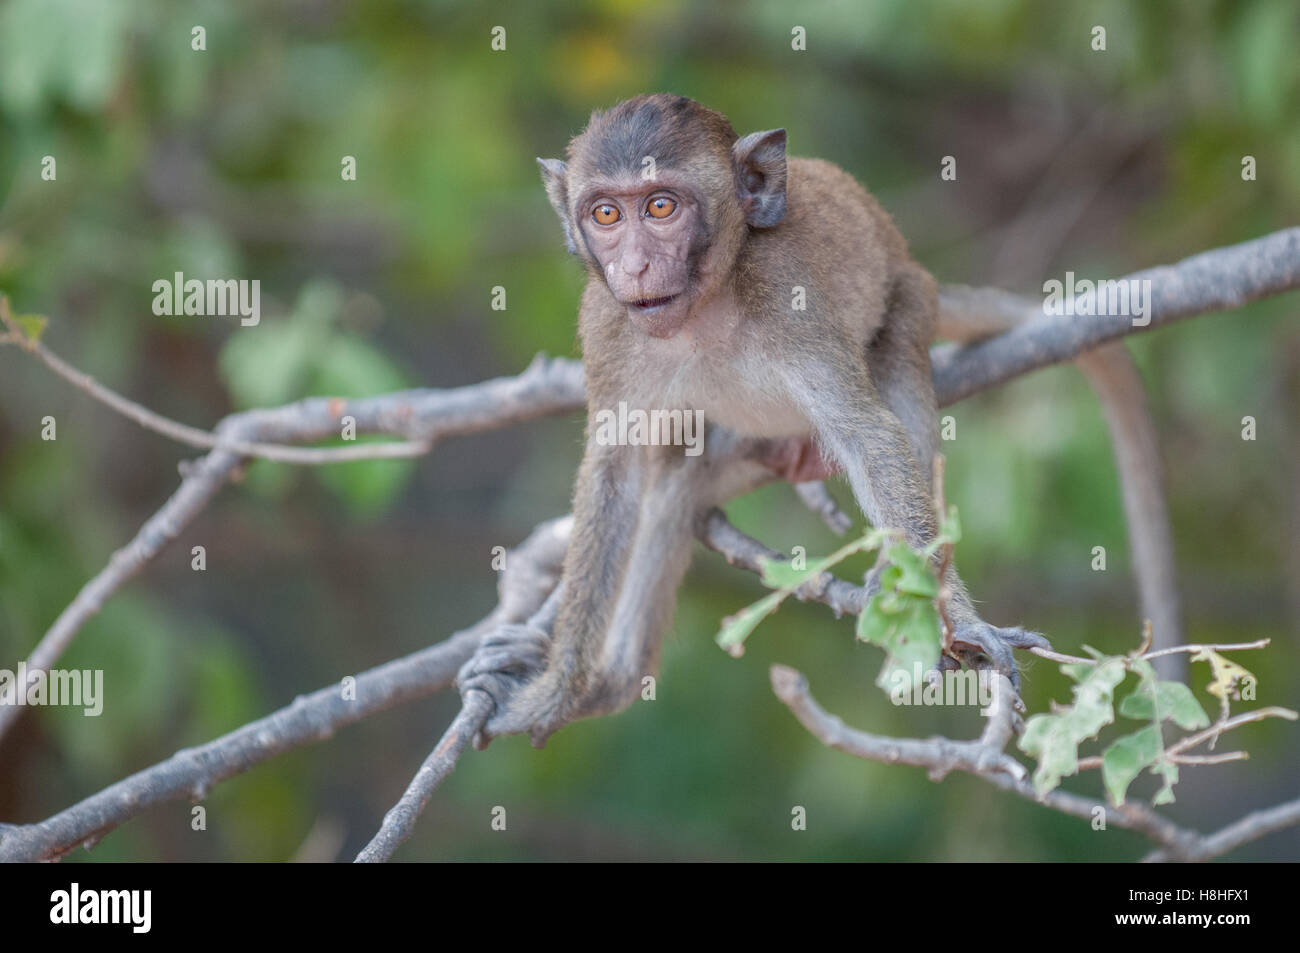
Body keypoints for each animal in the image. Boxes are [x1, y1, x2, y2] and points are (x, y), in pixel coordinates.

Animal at [462, 92, 1050, 743]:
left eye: (661, 206)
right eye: (607, 214)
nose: (635, 267)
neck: (704, 310)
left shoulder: (786, 295)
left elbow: (868, 436)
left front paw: (955, 617)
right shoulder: (606, 324)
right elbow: (615, 476)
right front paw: (560, 693)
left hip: (912, 293)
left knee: (896, 363)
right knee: (671, 483)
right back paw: (614, 682)